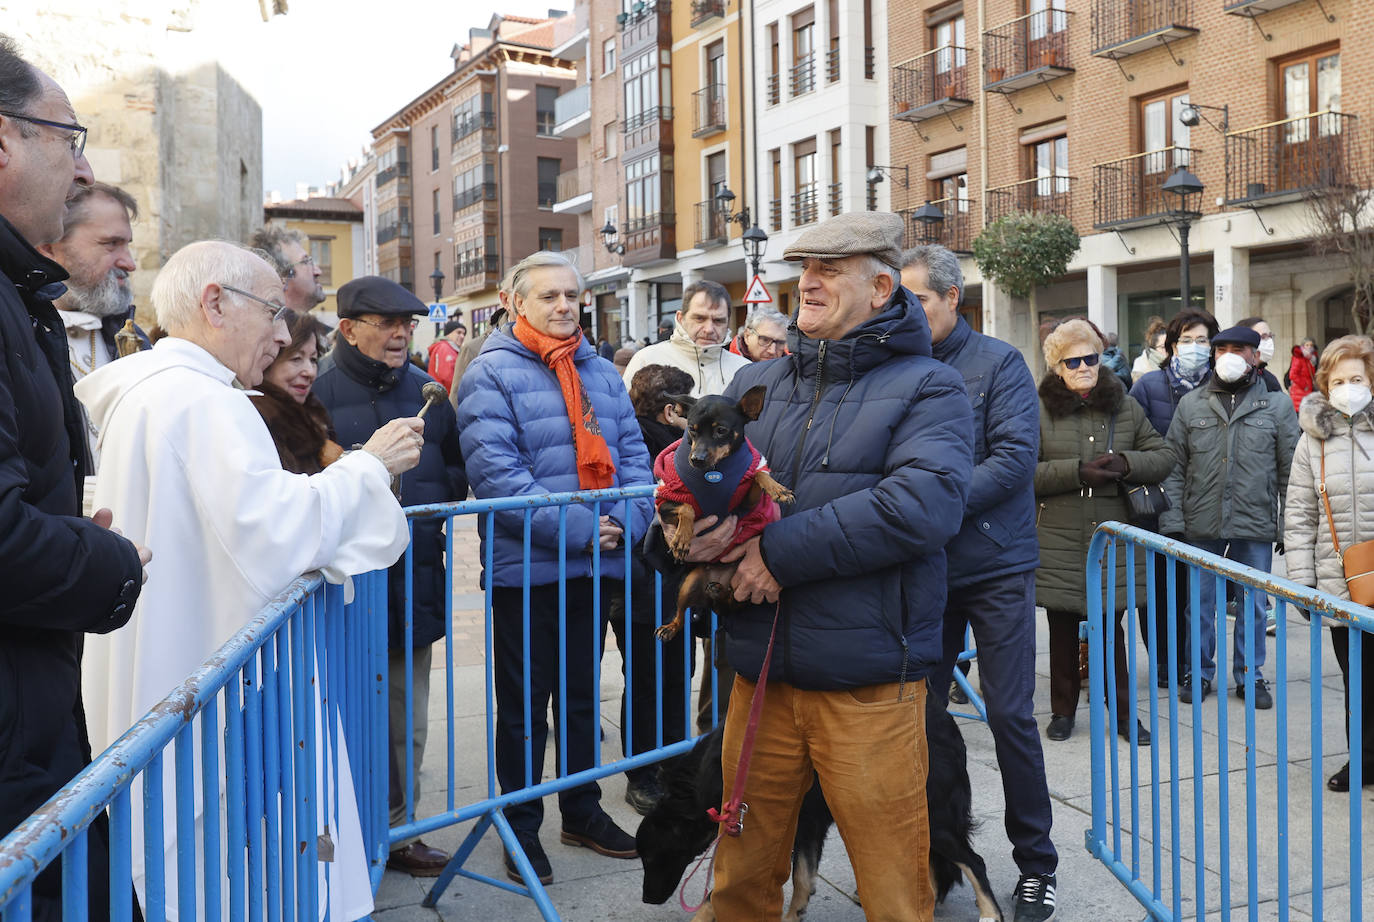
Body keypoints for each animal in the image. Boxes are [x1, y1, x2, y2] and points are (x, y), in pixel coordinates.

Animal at [637, 692, 1005, 922]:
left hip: (934, 814)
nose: (646, 899)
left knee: (974, 862)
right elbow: (803, 877)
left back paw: (989, 912)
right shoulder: (805, 824)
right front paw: (794, 914)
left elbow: (723, 891)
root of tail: (947, 722)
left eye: (652, 857)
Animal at [651, 384, 796, 643]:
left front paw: (778, 489)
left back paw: (718, 591)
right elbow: (687, 507)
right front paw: (681, 539)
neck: (714, 474)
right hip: (689, 583)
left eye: (721, 431)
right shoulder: (665, 503)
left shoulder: (746, 502)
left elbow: (758, 474)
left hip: (742, 585)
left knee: (730, 601)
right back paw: (671, 626)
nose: (697, 459)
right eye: (691, 430)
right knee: (681, 614)